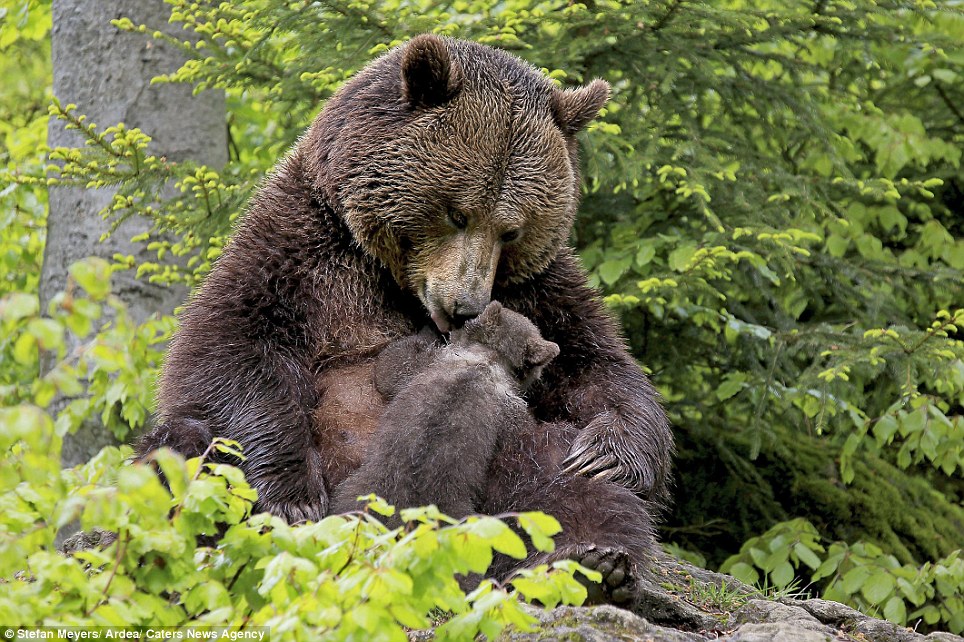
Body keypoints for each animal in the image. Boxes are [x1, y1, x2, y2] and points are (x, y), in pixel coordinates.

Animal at [137, 33, 672, 604]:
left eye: (512, 230)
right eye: (457, 212)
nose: (464, 305)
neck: (391, 277)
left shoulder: (538, 288)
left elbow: (594, 364)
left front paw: (607, 452)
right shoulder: (301, 248)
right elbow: (230, 348)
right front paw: (292, 495)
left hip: (513, 462)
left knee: (571, 490)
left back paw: (588, 565)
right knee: (185, 453)